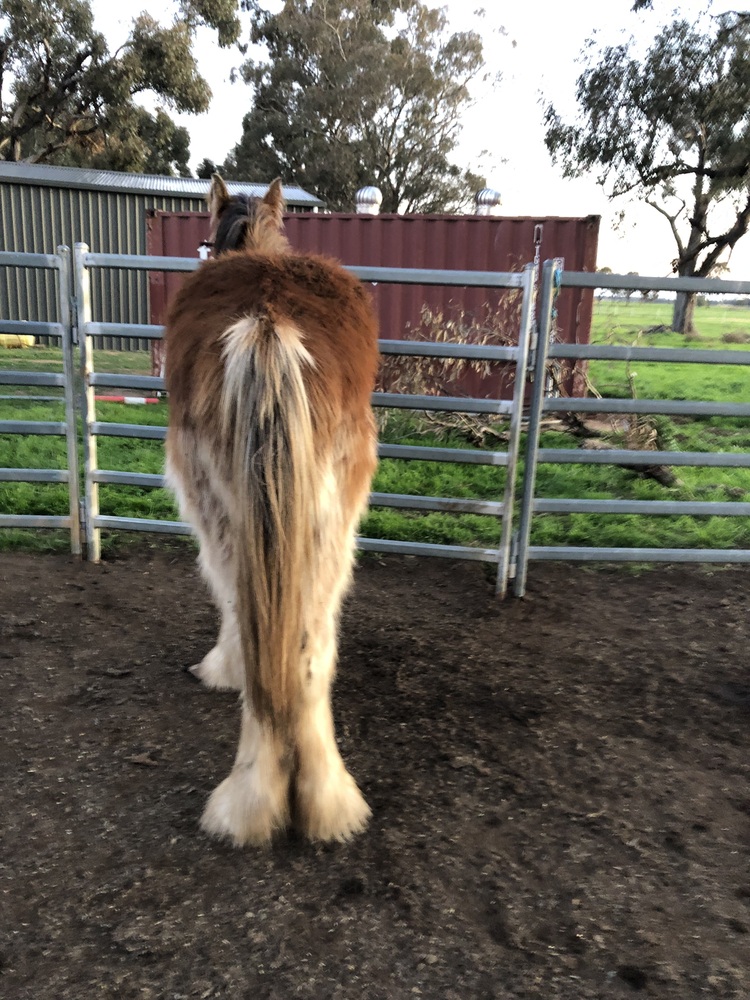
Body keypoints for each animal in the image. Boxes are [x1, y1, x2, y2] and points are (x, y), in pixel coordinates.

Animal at [164, 176, 380, 845]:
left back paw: (249, 802)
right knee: (310, 651)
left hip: (224, 510)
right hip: (329, 529)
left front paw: (219, 667)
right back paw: (326, 800)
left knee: (250, 619)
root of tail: (269, 320)